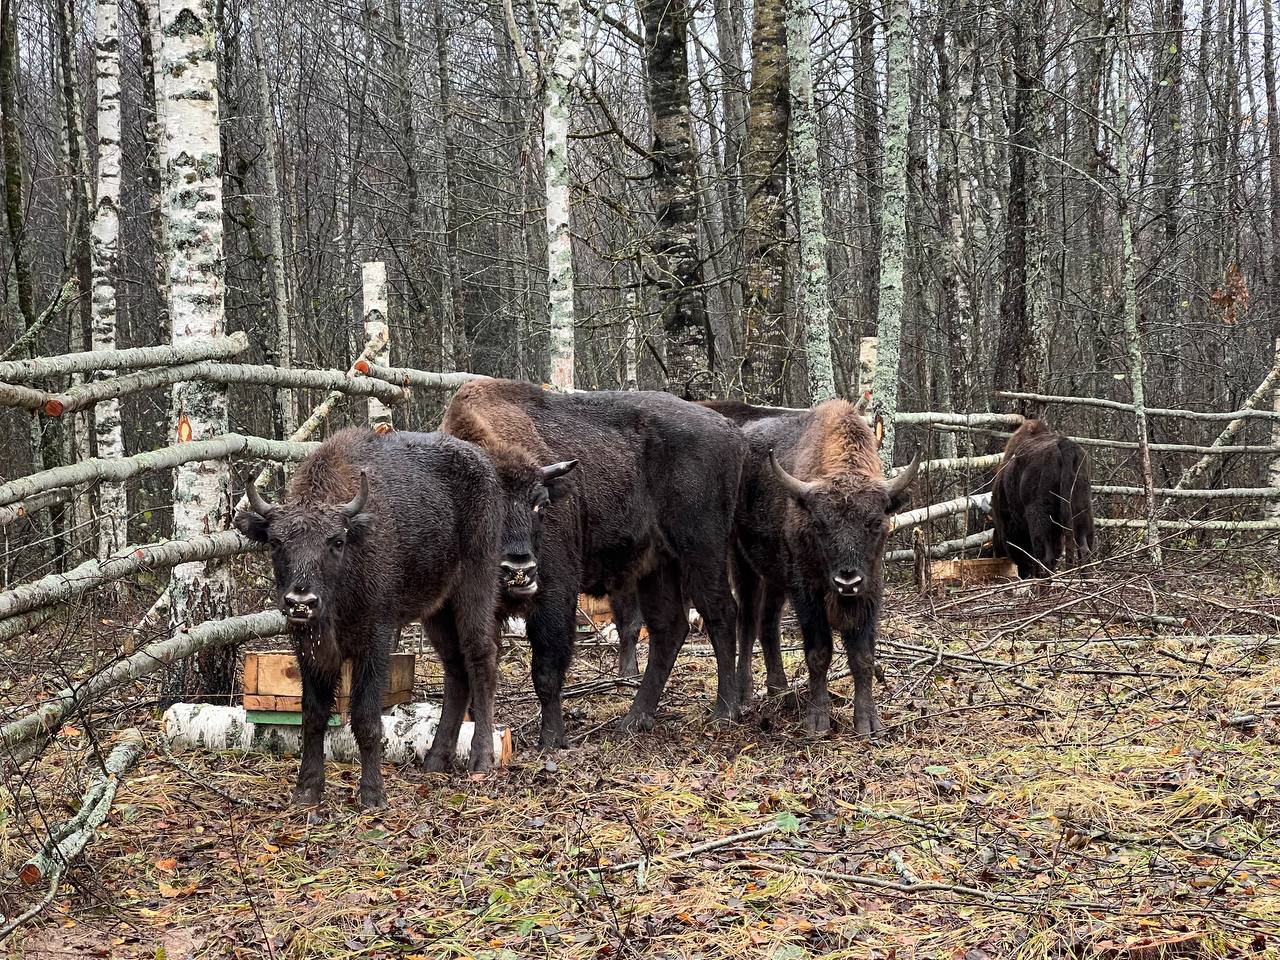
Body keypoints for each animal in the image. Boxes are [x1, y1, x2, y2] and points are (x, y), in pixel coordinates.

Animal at [235, 427, 504, 803]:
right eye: (275, 543)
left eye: (336, 541)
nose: (301, 601)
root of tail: (486, 466)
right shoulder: (309, 649)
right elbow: (313, 715)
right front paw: (307, 790)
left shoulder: (375, 642)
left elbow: (366, 719)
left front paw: (373, 794)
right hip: (437, 612)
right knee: (455, 671)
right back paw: (435, 760)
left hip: (475, 587)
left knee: (481, 659)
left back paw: (480, 759)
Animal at [445, 378, 747, 747]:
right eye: (485, 504)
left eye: (540, 504)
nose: (519, 571)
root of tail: (729, 430)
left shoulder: (555, 592)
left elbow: (546, 670)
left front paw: (552, 740)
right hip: (656, 567)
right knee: (669, 629)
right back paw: (634, 719)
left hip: (701, 552)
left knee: (721, 613)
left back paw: (724, 712)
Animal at [732, 401, 921, 742]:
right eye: (819, 524)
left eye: (875, 522)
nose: (847, 580)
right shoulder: (807, 592)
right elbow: (818, 652)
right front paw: (817, 721)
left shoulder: (870, 590)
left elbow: (863, 656)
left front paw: (868, 723)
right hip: (742, 561)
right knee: (747, 625)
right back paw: (744, 699)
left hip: (774, 577)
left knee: (768, 625)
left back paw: (781, 693)